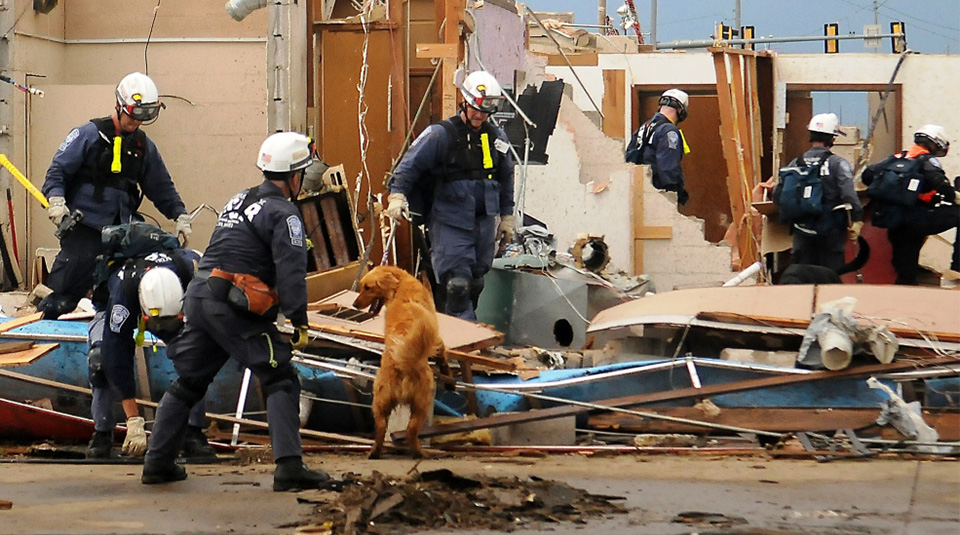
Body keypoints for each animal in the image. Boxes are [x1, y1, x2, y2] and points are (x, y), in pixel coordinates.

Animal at [352, 266, 450, 458]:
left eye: (367, 287)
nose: (354, 304)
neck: (400, 286)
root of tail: (402, 364)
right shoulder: (435, 337)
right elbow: (443, 354)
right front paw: (449, 378)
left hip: (380, 402)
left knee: (381, 427)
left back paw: (375, 452)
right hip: (423, 402)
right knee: (411, 430)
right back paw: (420, 453)